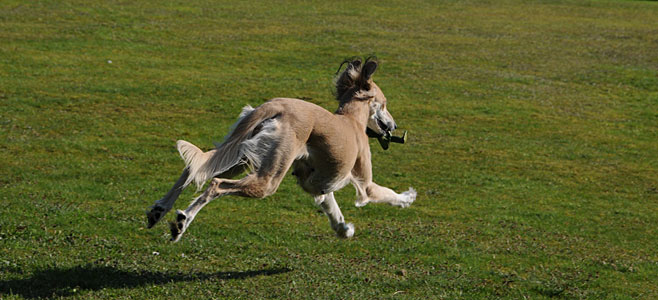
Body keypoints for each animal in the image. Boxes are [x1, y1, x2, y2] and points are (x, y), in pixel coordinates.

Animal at [147, 57, 416, 243]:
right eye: (384, 104)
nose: (393, 126)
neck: (351, 120)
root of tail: (275, 106)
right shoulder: (364, 184)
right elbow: (385, 193)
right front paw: (407, 197)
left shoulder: (318, 185)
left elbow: (333, 210)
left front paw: (344, 229)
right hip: (268, 176)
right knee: (215, 184)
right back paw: (182, 222)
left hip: (242, 155)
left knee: (192, 170)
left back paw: (159, 210)